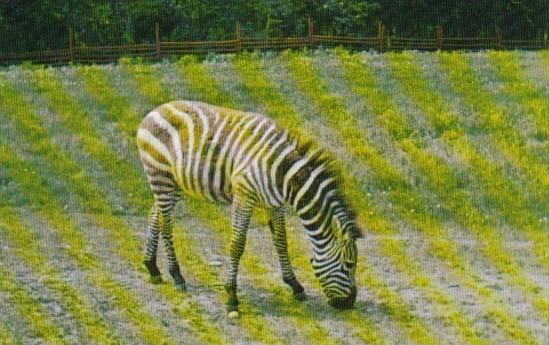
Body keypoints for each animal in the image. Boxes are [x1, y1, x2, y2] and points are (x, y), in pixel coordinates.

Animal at [135, 100, 362, 314]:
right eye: (349, 264)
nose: (350, 303)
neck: (284, 174)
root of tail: (154, 112)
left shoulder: (275, 203)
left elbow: (281, 241)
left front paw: (295, 285)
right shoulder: (244, 195)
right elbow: (237, 244)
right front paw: (231, 296)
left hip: (173, 182)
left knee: (155, 214)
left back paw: (152, 268)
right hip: (160, 175)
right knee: (166, 224)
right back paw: (176, 274)